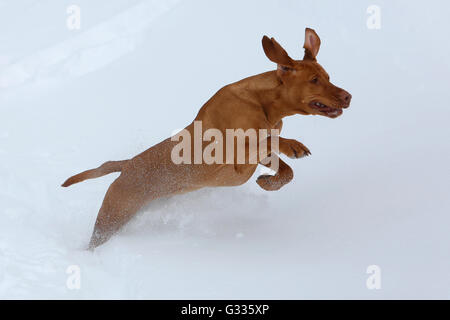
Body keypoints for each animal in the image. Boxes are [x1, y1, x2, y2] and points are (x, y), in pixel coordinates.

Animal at [62, 27, 352, 249]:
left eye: (328, 76)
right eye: (314, 80)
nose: (348, 96)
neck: (262, 103)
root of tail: (127, 164)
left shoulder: (256, 157)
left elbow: (285, 169)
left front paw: (269, 182)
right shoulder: (235, 157)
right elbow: (266, 139)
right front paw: (293, 145)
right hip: (112, 217)